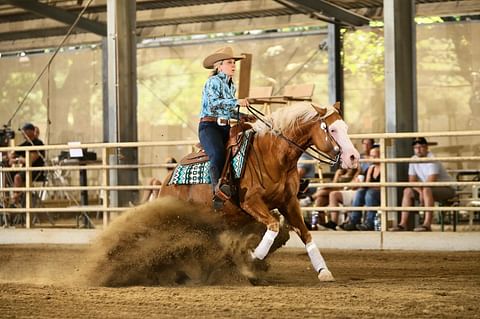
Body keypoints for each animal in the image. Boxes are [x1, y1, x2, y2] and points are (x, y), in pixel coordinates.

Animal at [159, 102, 358, 282]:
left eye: (345, 127)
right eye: (332, 130)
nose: (353, 157)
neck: (273, 155)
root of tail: (167, 180)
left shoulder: (289, 202)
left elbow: (306, 234)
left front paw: (324, 271)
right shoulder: (251, 202)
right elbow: (274, 226)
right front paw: (251, 260)